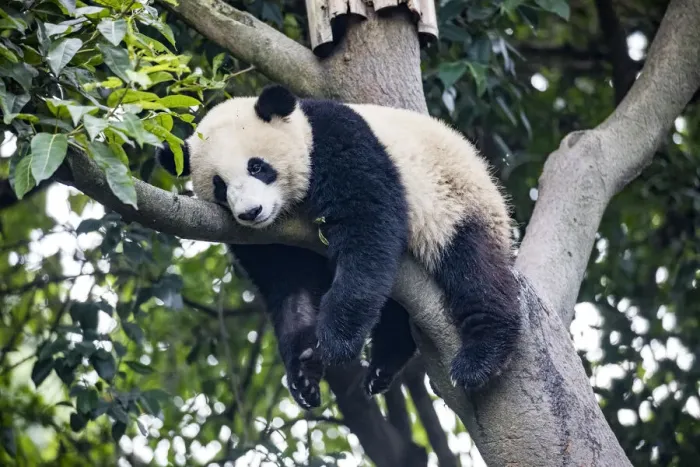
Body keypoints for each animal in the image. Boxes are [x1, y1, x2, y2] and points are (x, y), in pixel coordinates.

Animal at [156, 84, 521, 409]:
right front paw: (304, 370)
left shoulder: (338, 142)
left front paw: (335, 341)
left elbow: (367, 227)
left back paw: (480, 357)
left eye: (256, 166)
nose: (251, 212)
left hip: (456, 202)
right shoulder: (266, 239)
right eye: (219, 185)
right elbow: (289, 282)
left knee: (474, 269)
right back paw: (383, 365)